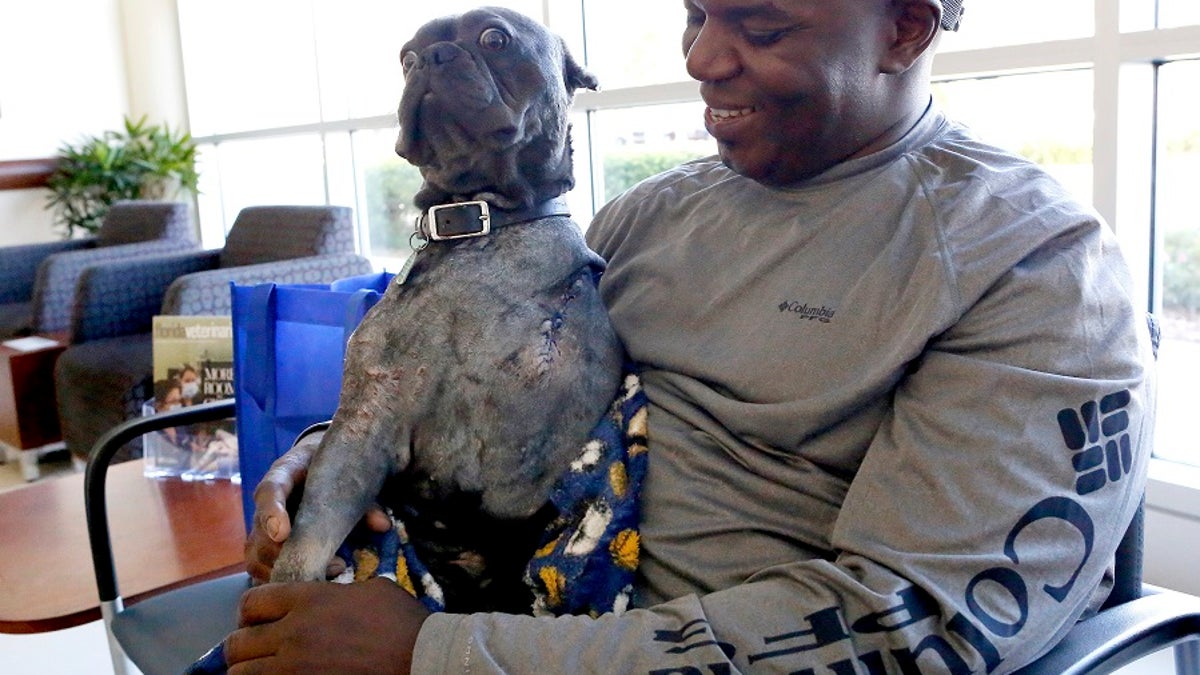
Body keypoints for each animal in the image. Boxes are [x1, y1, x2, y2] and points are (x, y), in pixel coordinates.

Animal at [271, 6, 624, 614]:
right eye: (405, 59)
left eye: (495, 38)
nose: (430, 60)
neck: (480, 224)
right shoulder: (360, 429)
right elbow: (309, 539)